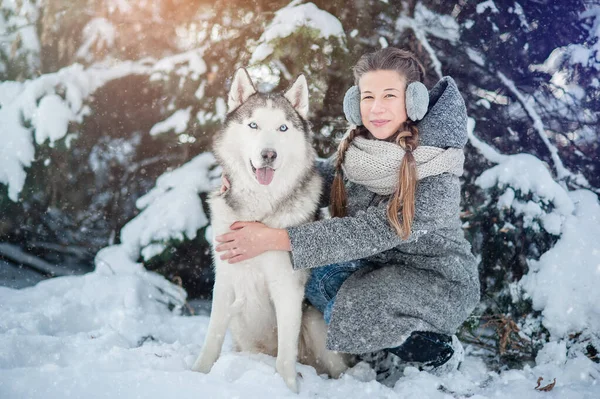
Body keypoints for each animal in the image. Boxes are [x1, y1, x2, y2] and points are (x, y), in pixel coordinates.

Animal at [192, 69, 350, 394]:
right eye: (253, 125)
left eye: (283, 127)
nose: (268, 154)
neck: (257, 213)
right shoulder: (224, 281)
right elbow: (212, 337)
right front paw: (198, 373)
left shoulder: (287, 287)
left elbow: (285, 359)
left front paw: (289, 389)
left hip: (315, 323)